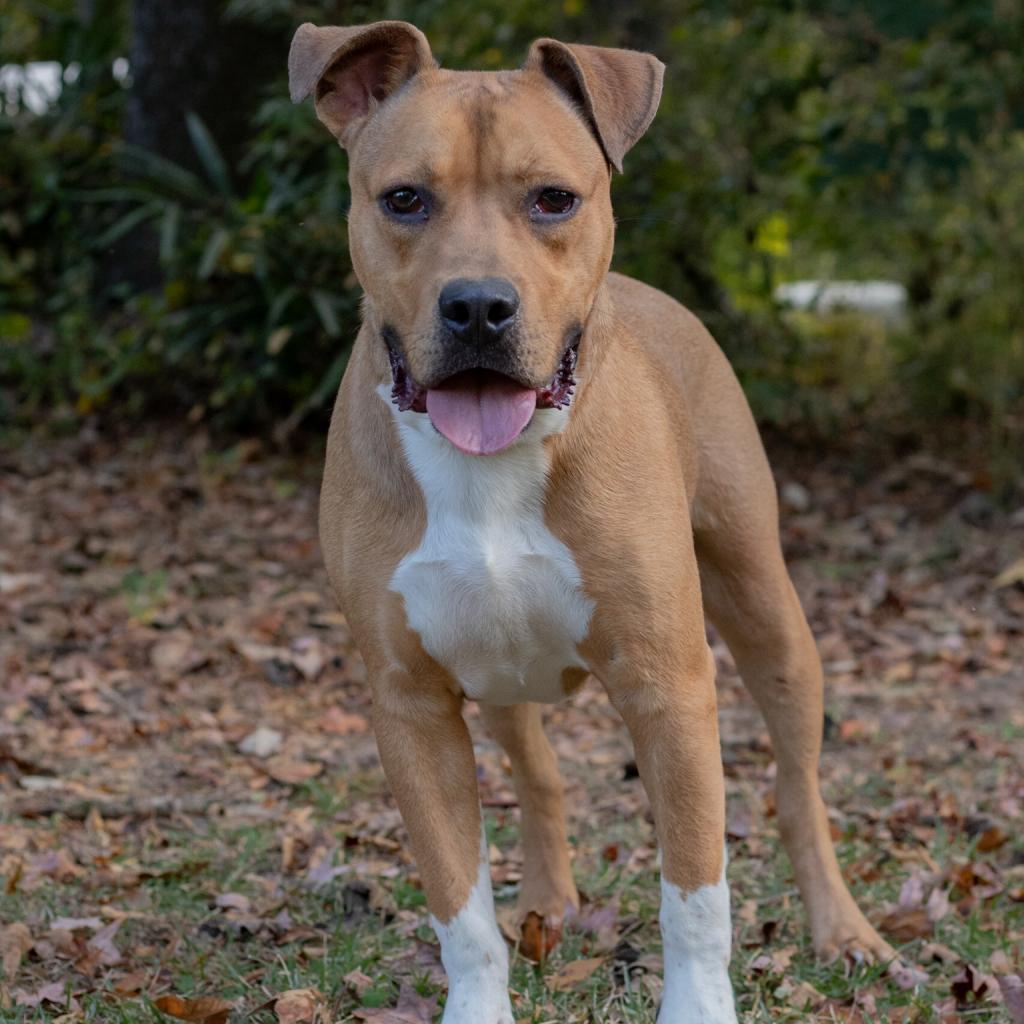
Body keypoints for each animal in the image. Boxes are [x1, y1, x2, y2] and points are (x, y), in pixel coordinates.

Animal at [290, 19, 897, 1019]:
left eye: (553, 199)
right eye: (404, 199)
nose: (478, 306)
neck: (491, 466)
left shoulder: (668, 684)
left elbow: (694, 891)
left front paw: (698, 1005)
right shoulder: (410, 702)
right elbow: (458, 903)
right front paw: (481, 998)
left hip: (766, 610)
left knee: (798, 788)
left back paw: (843, 930)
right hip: (499, 677)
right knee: (538, 775)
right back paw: (547, 904)